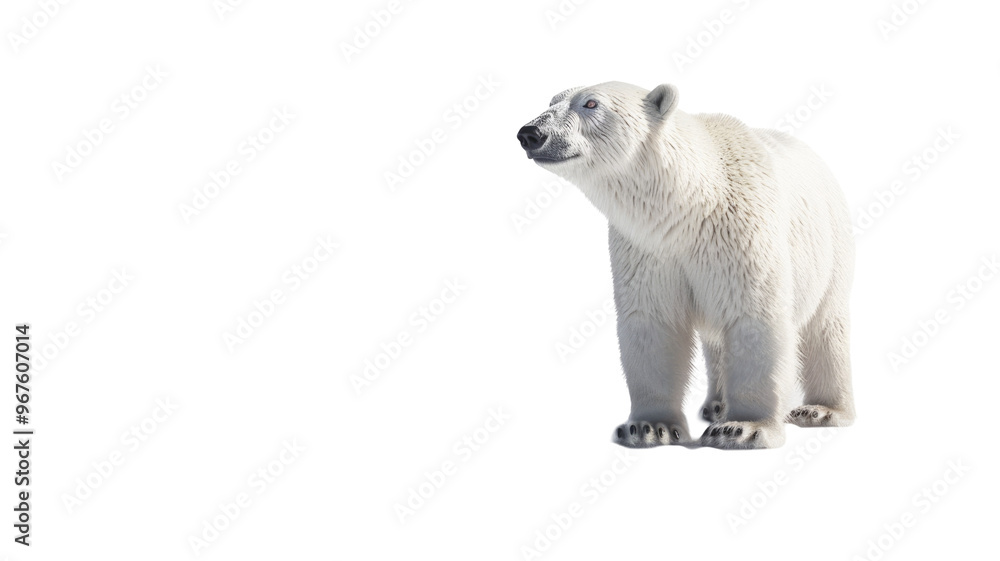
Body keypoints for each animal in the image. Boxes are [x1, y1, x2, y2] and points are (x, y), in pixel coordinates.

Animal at [517, 82, 855, 450]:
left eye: (590, 103)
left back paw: (821, 410)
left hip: (830, 245)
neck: (693, 207)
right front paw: (648, 427)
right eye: (551, 101)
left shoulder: (744, 237)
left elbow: (754, 318)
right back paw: (716, 404)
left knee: (826, 326)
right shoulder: (649, 251)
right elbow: (654, 323)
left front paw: (742, 428)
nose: (530, 133)